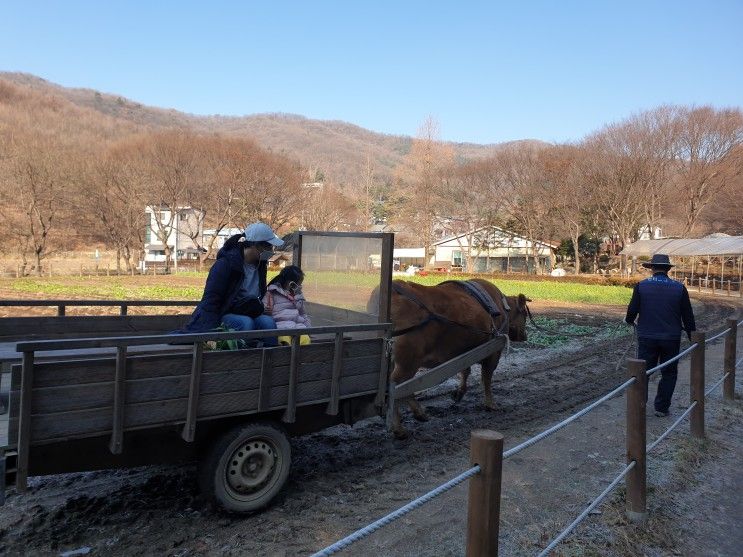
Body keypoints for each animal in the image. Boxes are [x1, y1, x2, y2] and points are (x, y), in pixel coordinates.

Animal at [390, 278, 528, 438]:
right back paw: (400, 428)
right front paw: (490, 404)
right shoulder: (494, 352)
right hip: (407, 363)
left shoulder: (463, 352)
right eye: (525, 314)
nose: (525, 336)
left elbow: (465, 371)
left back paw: (419, 414)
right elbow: (486, 378)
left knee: (402, 387)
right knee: (395, 387)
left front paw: (458, 393)